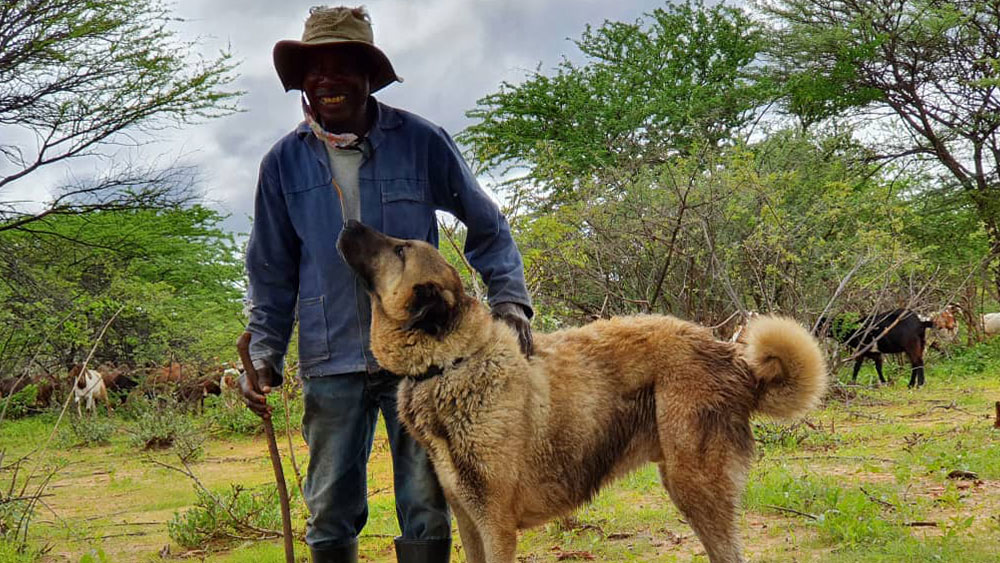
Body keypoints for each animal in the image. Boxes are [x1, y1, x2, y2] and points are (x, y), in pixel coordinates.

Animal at [336, 220, 828, 563]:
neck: (452, 362)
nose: (347, 223)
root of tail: (733, 359)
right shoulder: (469, 520)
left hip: (696, 486)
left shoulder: (496, 525)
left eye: (400, 249)